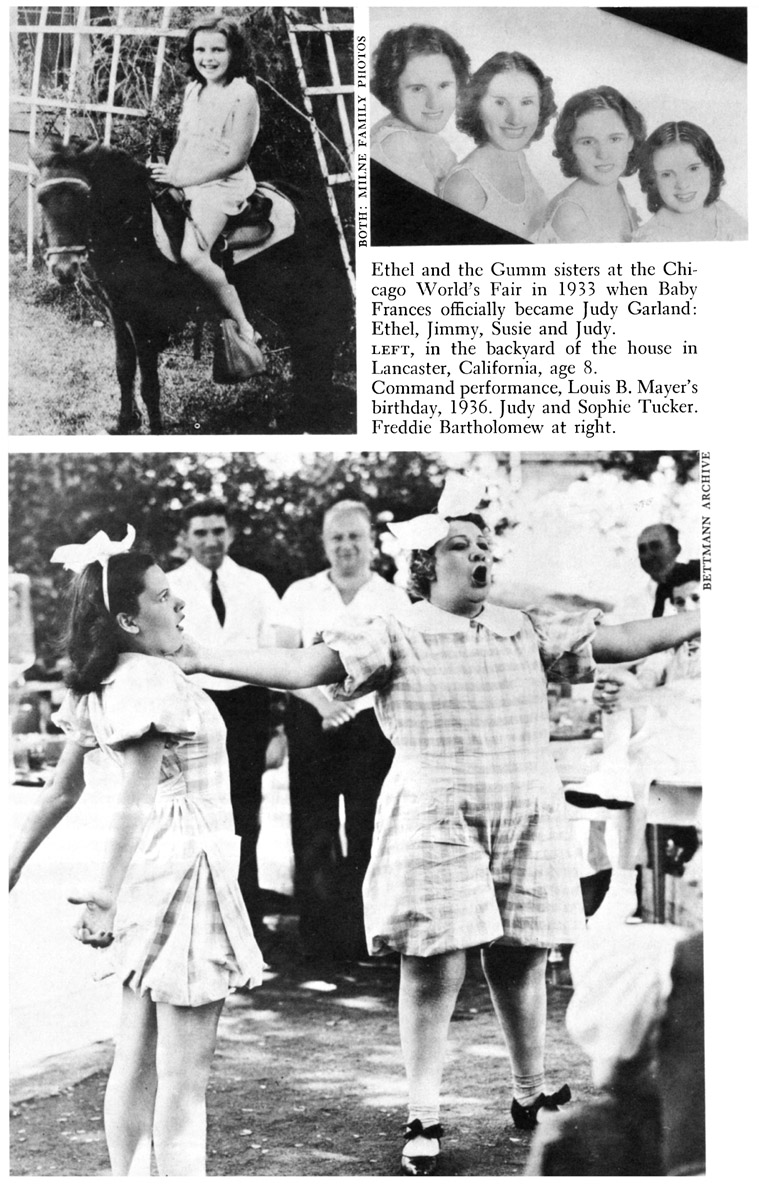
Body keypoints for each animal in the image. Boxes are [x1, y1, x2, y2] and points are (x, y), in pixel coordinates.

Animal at [32, 139, 355, 436]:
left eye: (84, 197)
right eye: (41, 200)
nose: (63, 268)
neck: (134, 226)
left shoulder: (143, 319)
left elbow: (149, 382)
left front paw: (155, 429)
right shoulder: (118, 313)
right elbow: (123, 367)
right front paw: (125, 423)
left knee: (316, 346)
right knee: (308, 349)